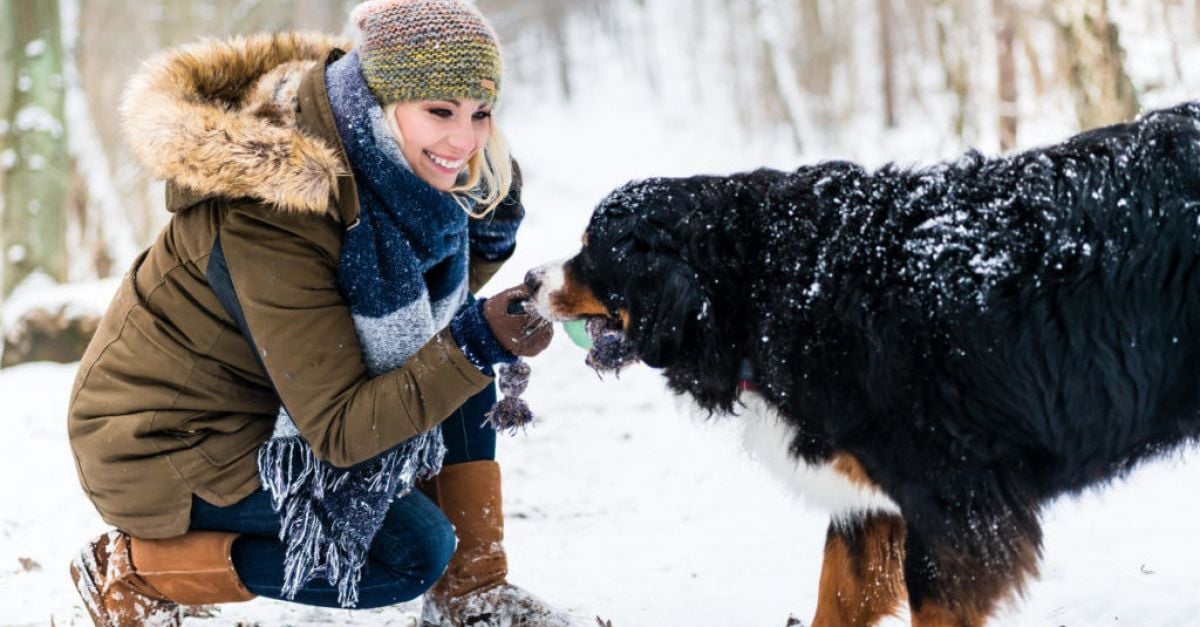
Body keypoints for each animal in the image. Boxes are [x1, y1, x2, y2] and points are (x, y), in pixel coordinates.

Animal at [530, 102, 1200, 624]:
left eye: (590, 250)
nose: (530, 281)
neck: (776, 285)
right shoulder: (874, 499)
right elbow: (838, 596)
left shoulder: (951, 501)